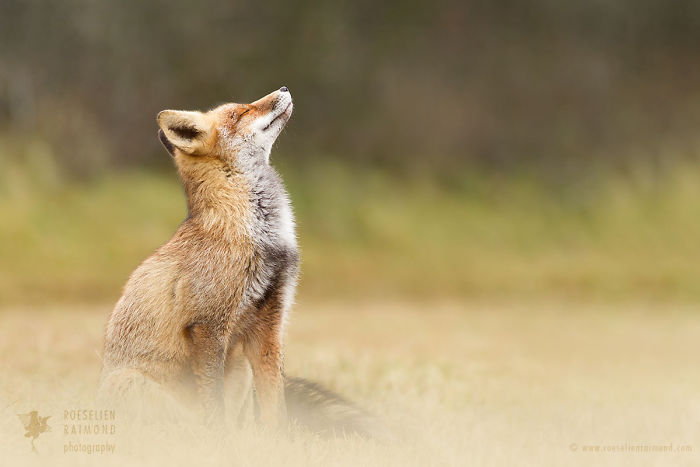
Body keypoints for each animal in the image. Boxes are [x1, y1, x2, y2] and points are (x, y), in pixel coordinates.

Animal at [98, 87, 378, 436]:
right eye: (240, 112)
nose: (284, 89)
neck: (257, 234)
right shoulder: (207, 325)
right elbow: (214, 406)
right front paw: (222, 443)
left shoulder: (269, 324)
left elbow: (274, 405)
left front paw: (277, 442)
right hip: (132, 382)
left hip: (241, 367)